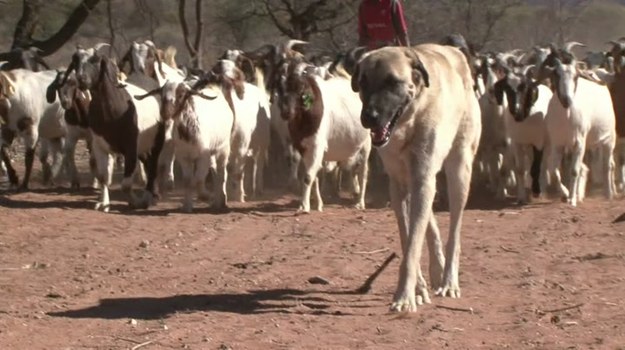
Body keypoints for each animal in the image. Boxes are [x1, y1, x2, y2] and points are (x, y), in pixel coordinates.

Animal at [352, 45, 482, 314]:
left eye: (392, 82)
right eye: (363, 82)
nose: (369, 117)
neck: (407, 123)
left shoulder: (422, 178)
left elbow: (413, 245)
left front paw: (404, 296)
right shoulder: (399, 185)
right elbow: (407, 239)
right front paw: (418, 289)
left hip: (459, 171)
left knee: (454, 231)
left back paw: (449, 280)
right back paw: (437, 271)